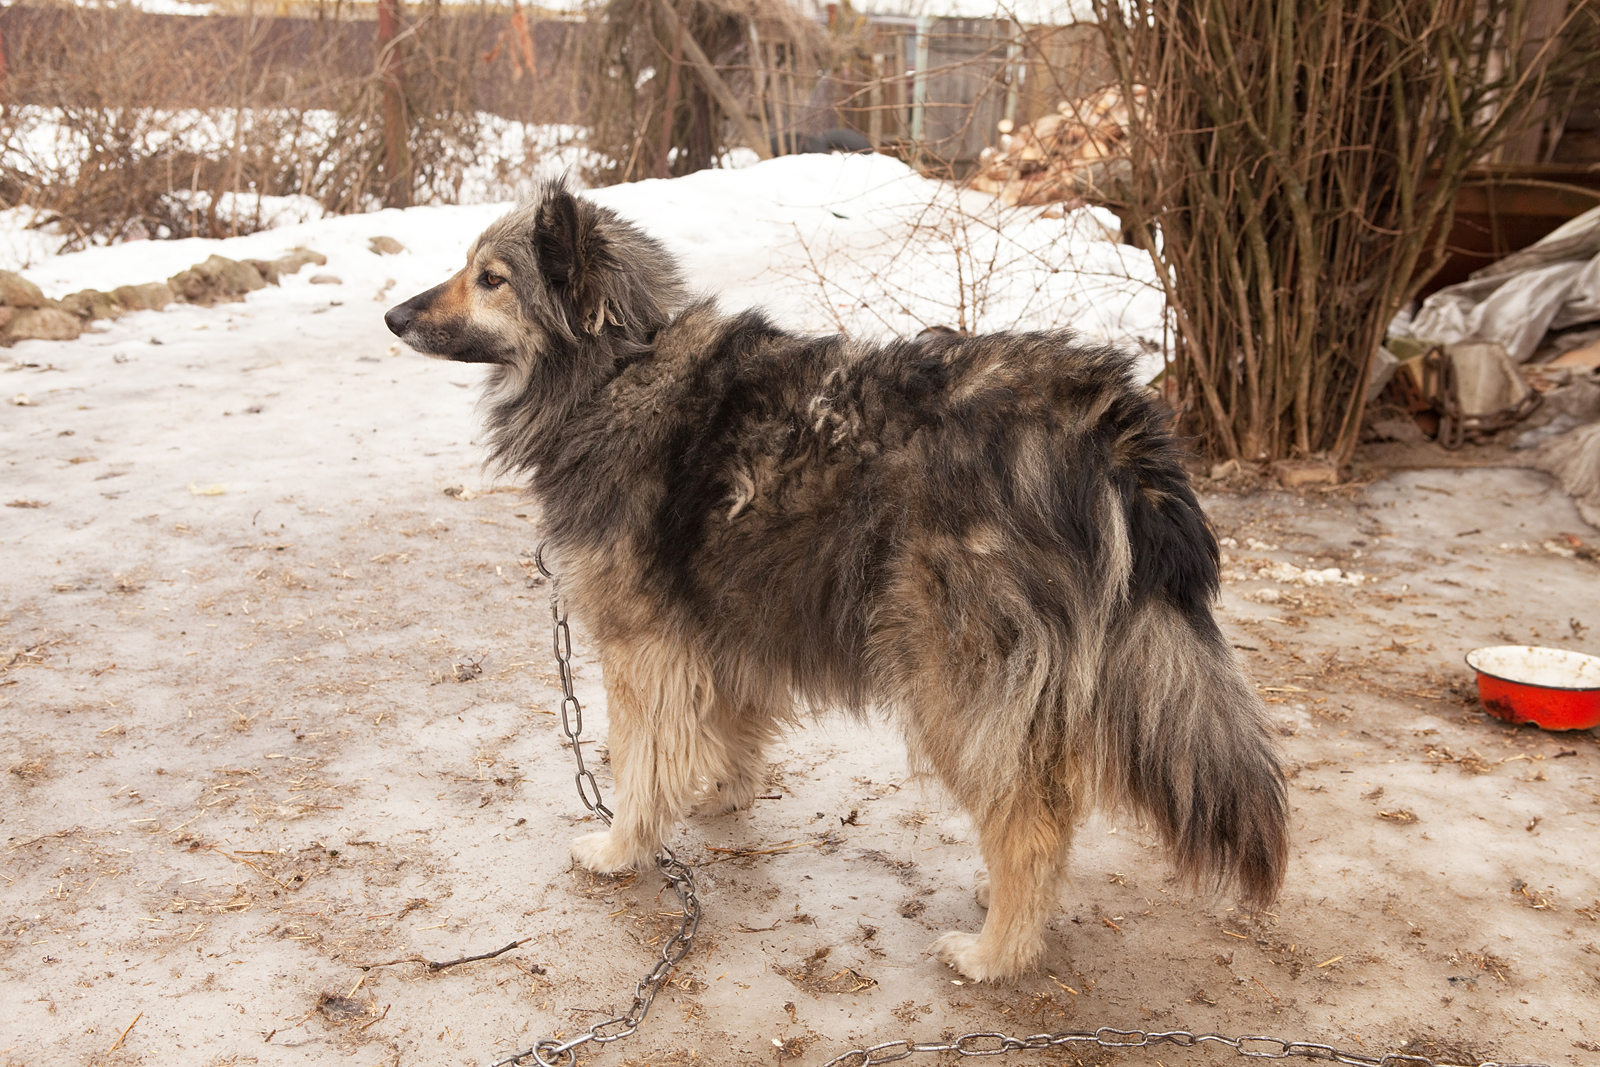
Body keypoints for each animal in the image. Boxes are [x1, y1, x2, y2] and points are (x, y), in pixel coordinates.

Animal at [385, 182, 1289, 981]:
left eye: (491, 278)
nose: (393, 316)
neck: (617, 365)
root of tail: (1105, 422)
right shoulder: (723, 623)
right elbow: (725, 727)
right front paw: (718, 791)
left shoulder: (643, 644)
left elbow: (639, 760)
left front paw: (621, 845)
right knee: (1053, 802)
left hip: (951, 677)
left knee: (1029, 819)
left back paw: (996, 953)